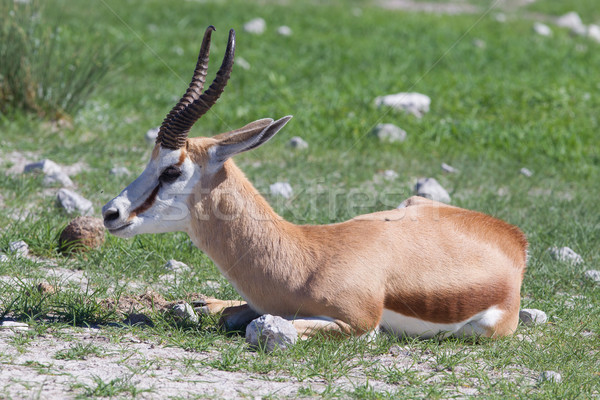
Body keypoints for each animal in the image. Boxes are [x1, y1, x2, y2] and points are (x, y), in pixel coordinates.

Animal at [103, 25, 528, 338]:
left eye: (171, 170)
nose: (111, 213)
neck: (305, 259)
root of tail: (512, 239)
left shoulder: (359, 325)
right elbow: (234, 315)